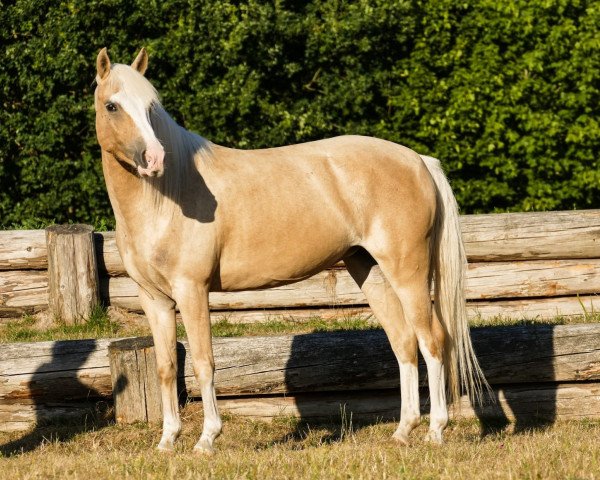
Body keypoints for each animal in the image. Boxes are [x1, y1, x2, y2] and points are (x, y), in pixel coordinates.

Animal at [95, 47, 488, 454]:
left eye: (151, 106)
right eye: (112, 105)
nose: (154, 159)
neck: (169, 195)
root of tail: (419, 161)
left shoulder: (192, 290)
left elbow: (203, 361)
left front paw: (206, 439)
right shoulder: (154, 299)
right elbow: (166, 366)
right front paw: (167, 441)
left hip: (407, 271)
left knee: (432, 341)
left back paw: (435, 430)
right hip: (368, 269)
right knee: (404, 343)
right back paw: (403, 431)